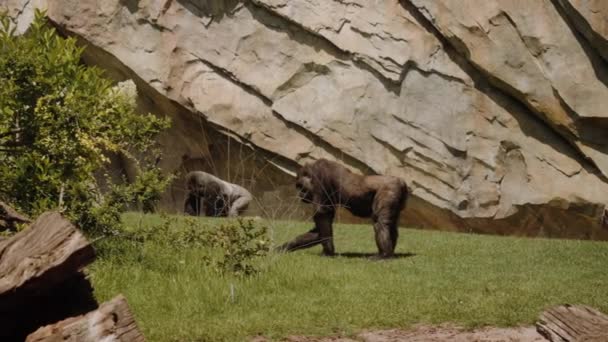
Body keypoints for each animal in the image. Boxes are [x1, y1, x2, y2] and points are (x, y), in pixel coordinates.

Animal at [280, 159, 408, 258]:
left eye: (300, 186)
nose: (299, 195)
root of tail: (401, 181)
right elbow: (319, 228)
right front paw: (285, 247)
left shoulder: (319, 176)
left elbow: (322, 214)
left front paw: (328, 251)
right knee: (391, 223)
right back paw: (390, 253)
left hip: (389, 189)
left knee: (380, 222)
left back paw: (384, 255)